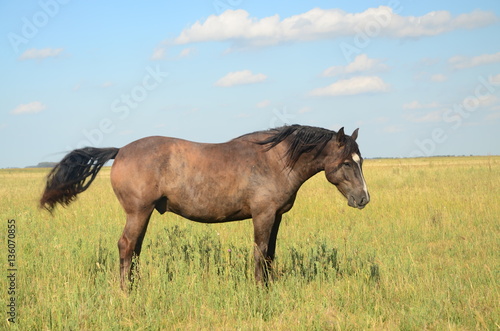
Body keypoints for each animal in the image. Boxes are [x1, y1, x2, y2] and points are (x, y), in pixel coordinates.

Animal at [39, 124, 370, 290]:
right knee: (126, 246)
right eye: (345, 163)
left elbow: (270, 255)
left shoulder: (275, 217)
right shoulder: (262, 215)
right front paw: (259, 290)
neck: (273, 161)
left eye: (361, 160)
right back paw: (126, 291)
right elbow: (260, 253)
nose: (363, 198)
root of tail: (120, 151)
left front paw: (269, 287)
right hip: (138, 212)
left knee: (134, 249)